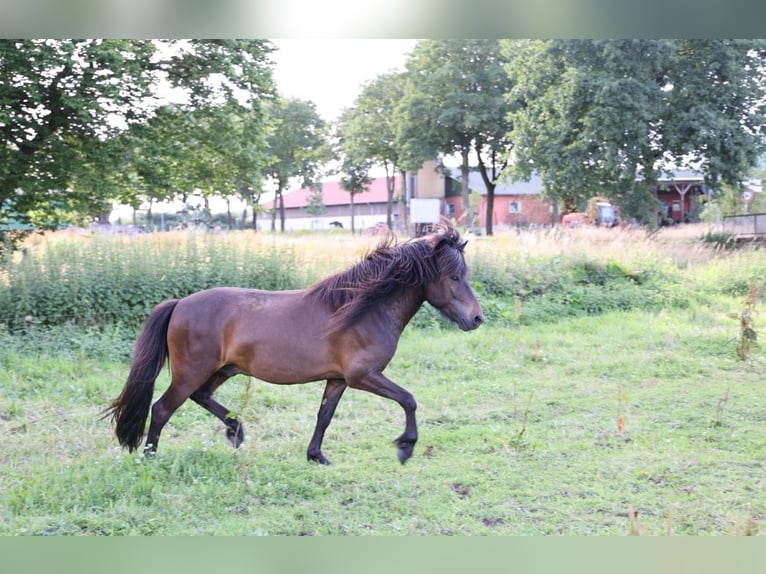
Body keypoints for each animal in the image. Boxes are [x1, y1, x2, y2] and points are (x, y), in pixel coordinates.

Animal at [106, 223, 486, 466]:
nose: (477, 318)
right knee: (162, 409)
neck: (360, 309)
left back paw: (236, 432)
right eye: (454, 277)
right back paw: (150, 457)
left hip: (224, 370)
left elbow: (324, 417)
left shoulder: (338, 379)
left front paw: (315, 456)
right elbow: (409, 399)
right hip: (190, 373)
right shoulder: (364, 376)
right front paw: (406, 447)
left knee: (202, 397)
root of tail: (179, 304)